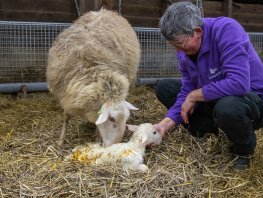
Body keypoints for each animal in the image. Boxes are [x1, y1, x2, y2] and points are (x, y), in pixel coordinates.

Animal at [46, 9, 141, 146]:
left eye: (126, 118)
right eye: (112, 119)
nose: (115, 145)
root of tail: (104, 11)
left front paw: (97, 137)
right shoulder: (66, 94)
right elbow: (66, 117)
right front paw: (61, 140)